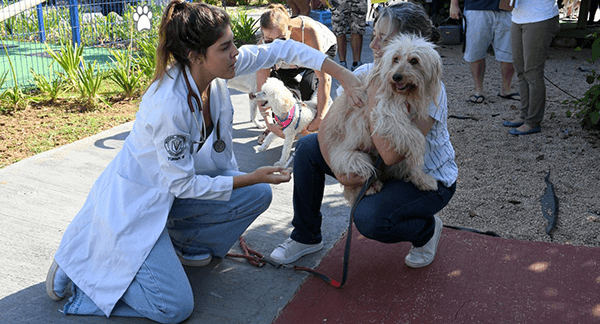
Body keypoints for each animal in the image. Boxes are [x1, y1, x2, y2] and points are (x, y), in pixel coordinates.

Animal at [318, 34, 440, 204]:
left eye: (414, 60)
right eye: (396, 59)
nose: (396, 77)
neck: (404, 95)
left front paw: (418, 177)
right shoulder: (386, 116)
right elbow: (417, 139)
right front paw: (421, 176)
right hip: (355, 159)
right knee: (359, 180)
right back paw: (370, 187)